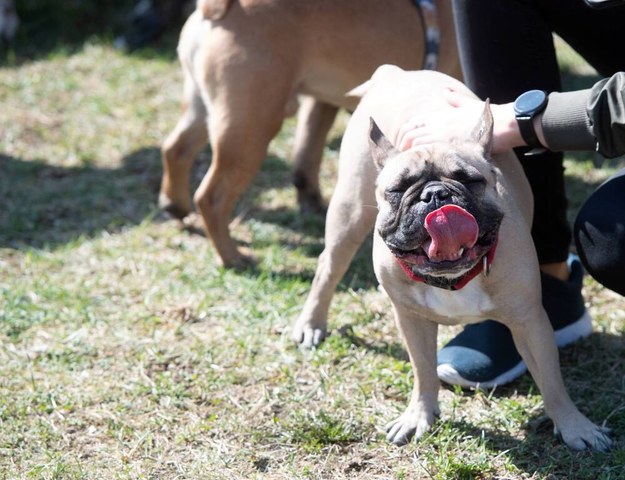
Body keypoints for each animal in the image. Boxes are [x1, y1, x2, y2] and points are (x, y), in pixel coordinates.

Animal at [157, 0, 458, 268]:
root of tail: (216, 9)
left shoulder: (320, 103)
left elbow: (307, 151)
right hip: (249, 131)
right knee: (211, 197)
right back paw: (232, 257)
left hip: (204, 110)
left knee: (175, 149)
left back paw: (175, 204)